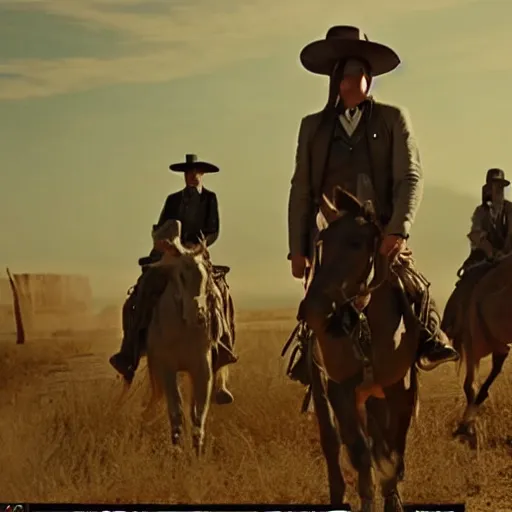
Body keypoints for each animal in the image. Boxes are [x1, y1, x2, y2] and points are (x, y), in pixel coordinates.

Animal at [298, 187, 422, 512]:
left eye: (356, 243)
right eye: (321, 244)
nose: (315, 311)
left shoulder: (400, 389)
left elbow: (393, 452)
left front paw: (393, 496)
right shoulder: (340, 388)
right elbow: (359, 451)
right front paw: (368, 496)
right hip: (323, 387)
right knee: (332, 442)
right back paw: (339, 495)